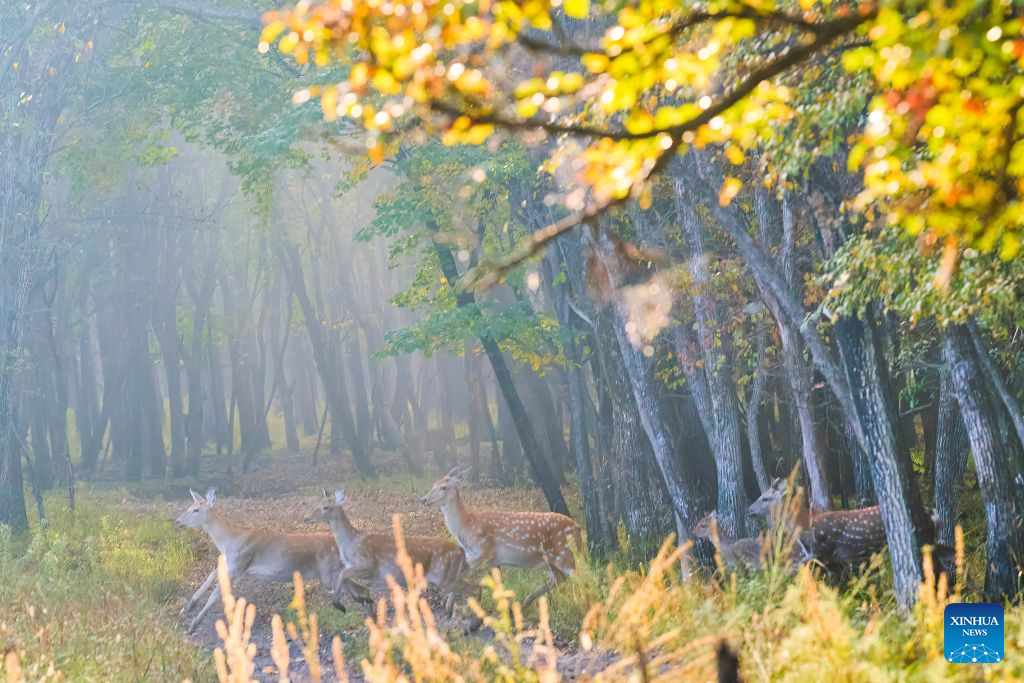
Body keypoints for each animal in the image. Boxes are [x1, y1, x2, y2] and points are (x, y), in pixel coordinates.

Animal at [174, 488, 343, 633]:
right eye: (189, 506)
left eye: (195, 510)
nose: (177, 521)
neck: (227, 542)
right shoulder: (231, 563)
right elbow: (212, 574)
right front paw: (189, 605)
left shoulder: (239, 564)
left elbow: (215, 594)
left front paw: (193, 625)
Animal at [305, 488, 474, 616]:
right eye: (318, 503)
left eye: (325, 507)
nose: (306, 518)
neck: (349, 543)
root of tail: (460, 551)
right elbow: (344, 578)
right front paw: (361, 600)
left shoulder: (369, 564)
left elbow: (342, 575)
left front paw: (339, 604)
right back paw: (449, 610)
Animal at [420, 466, 582, 614]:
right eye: (434, 484)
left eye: (444, 487)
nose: (423, 499)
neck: (466, 526)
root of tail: (578, 529)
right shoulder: (493, 560)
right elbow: (499, 584)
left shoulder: (484, 551)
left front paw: (448, 606)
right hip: (551, 562)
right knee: (558, 579)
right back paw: (527, 602)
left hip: (565, 556)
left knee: (581, 576)